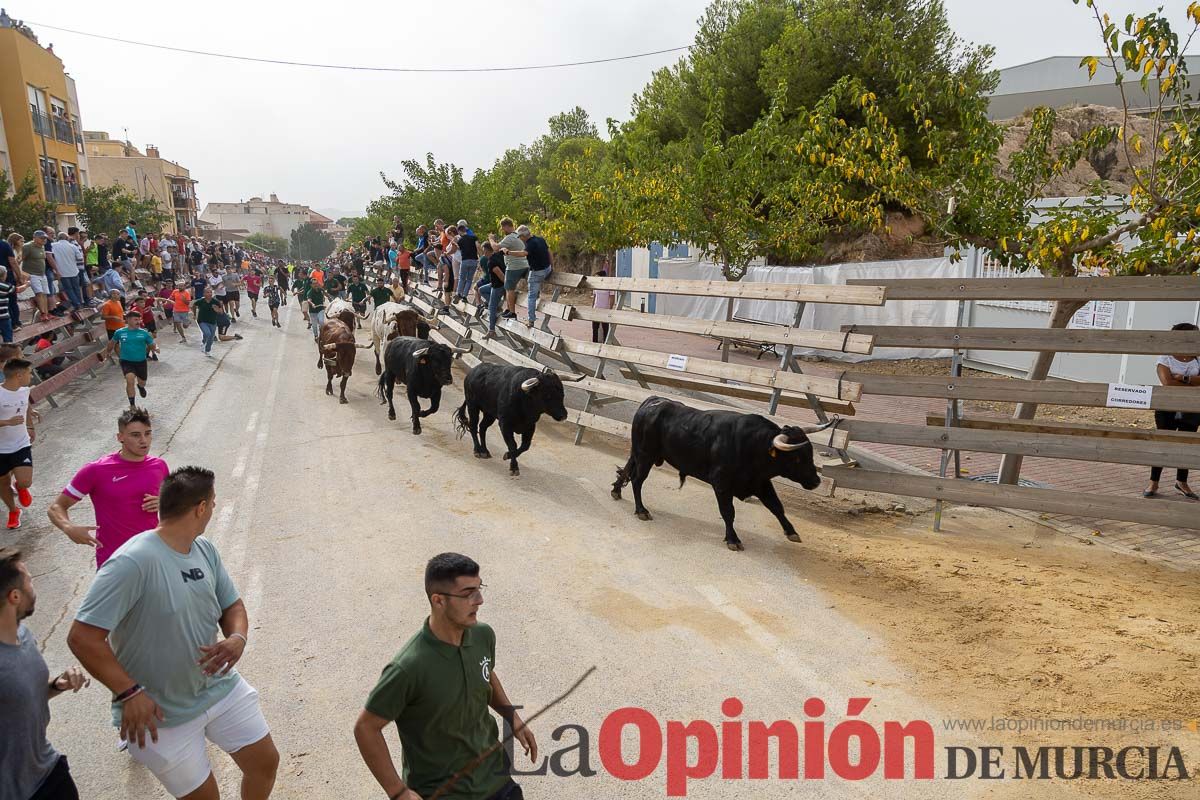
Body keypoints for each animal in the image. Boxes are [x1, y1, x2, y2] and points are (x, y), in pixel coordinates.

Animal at [609, 398, 835, 551]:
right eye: (796, 458)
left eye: (810, 453)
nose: (816, 481)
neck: (753, 446)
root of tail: (652, 402)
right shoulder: (721, 484)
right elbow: (728, 512)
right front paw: (733, 539)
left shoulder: (761, 483)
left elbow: (776, 507)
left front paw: (791, 532)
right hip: (646, 456)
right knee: (637, 480)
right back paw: (641, 510)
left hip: (639, 453)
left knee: (628, 469)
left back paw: (617, 491)